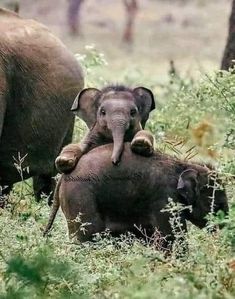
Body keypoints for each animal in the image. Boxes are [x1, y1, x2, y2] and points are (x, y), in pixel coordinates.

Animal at [44, 144, 228, 252]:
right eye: (218, 205)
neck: (183, 164)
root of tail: (63, 177)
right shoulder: (165, 198)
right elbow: (171, 237)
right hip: (80, 199)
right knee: (86, 237)